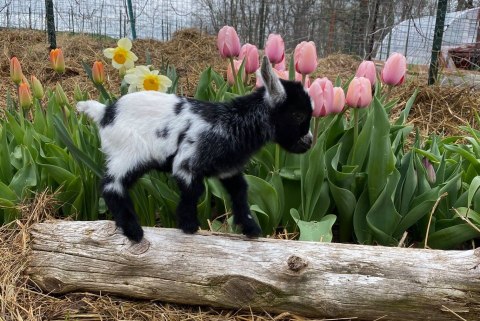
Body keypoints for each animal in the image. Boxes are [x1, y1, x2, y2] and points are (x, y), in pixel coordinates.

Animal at [77, 56, 314, 241]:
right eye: (298, 114)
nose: (309, 142)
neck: (232, 123)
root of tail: (105, 112)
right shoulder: (187, 163)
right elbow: (194, 191)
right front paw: (189, 226)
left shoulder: (228, 168)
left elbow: (240, 192)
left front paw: (251, 228)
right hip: (129, 153)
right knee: (111, 185)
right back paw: (133, 230)